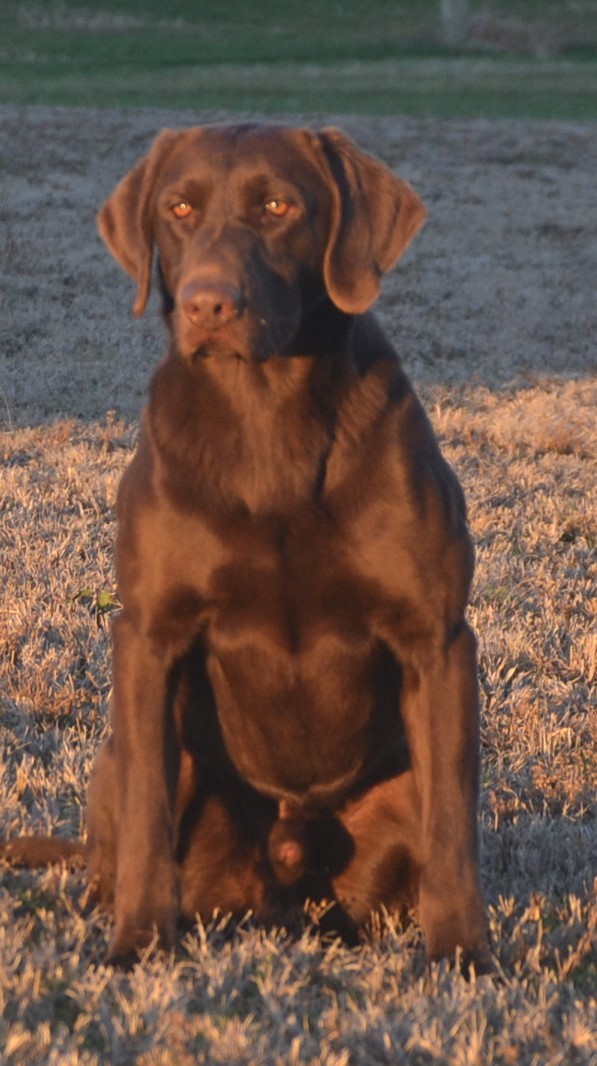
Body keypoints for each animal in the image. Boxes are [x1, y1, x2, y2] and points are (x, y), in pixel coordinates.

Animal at [2, 120, 490, 972]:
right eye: (179, 208)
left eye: (276, 206)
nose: (207, 302)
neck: (267, 424)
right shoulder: (149, 636)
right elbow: (149, 818)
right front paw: (137, 946)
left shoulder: (436, 641)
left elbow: (453, 826)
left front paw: (465, 956)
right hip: (137, 756)